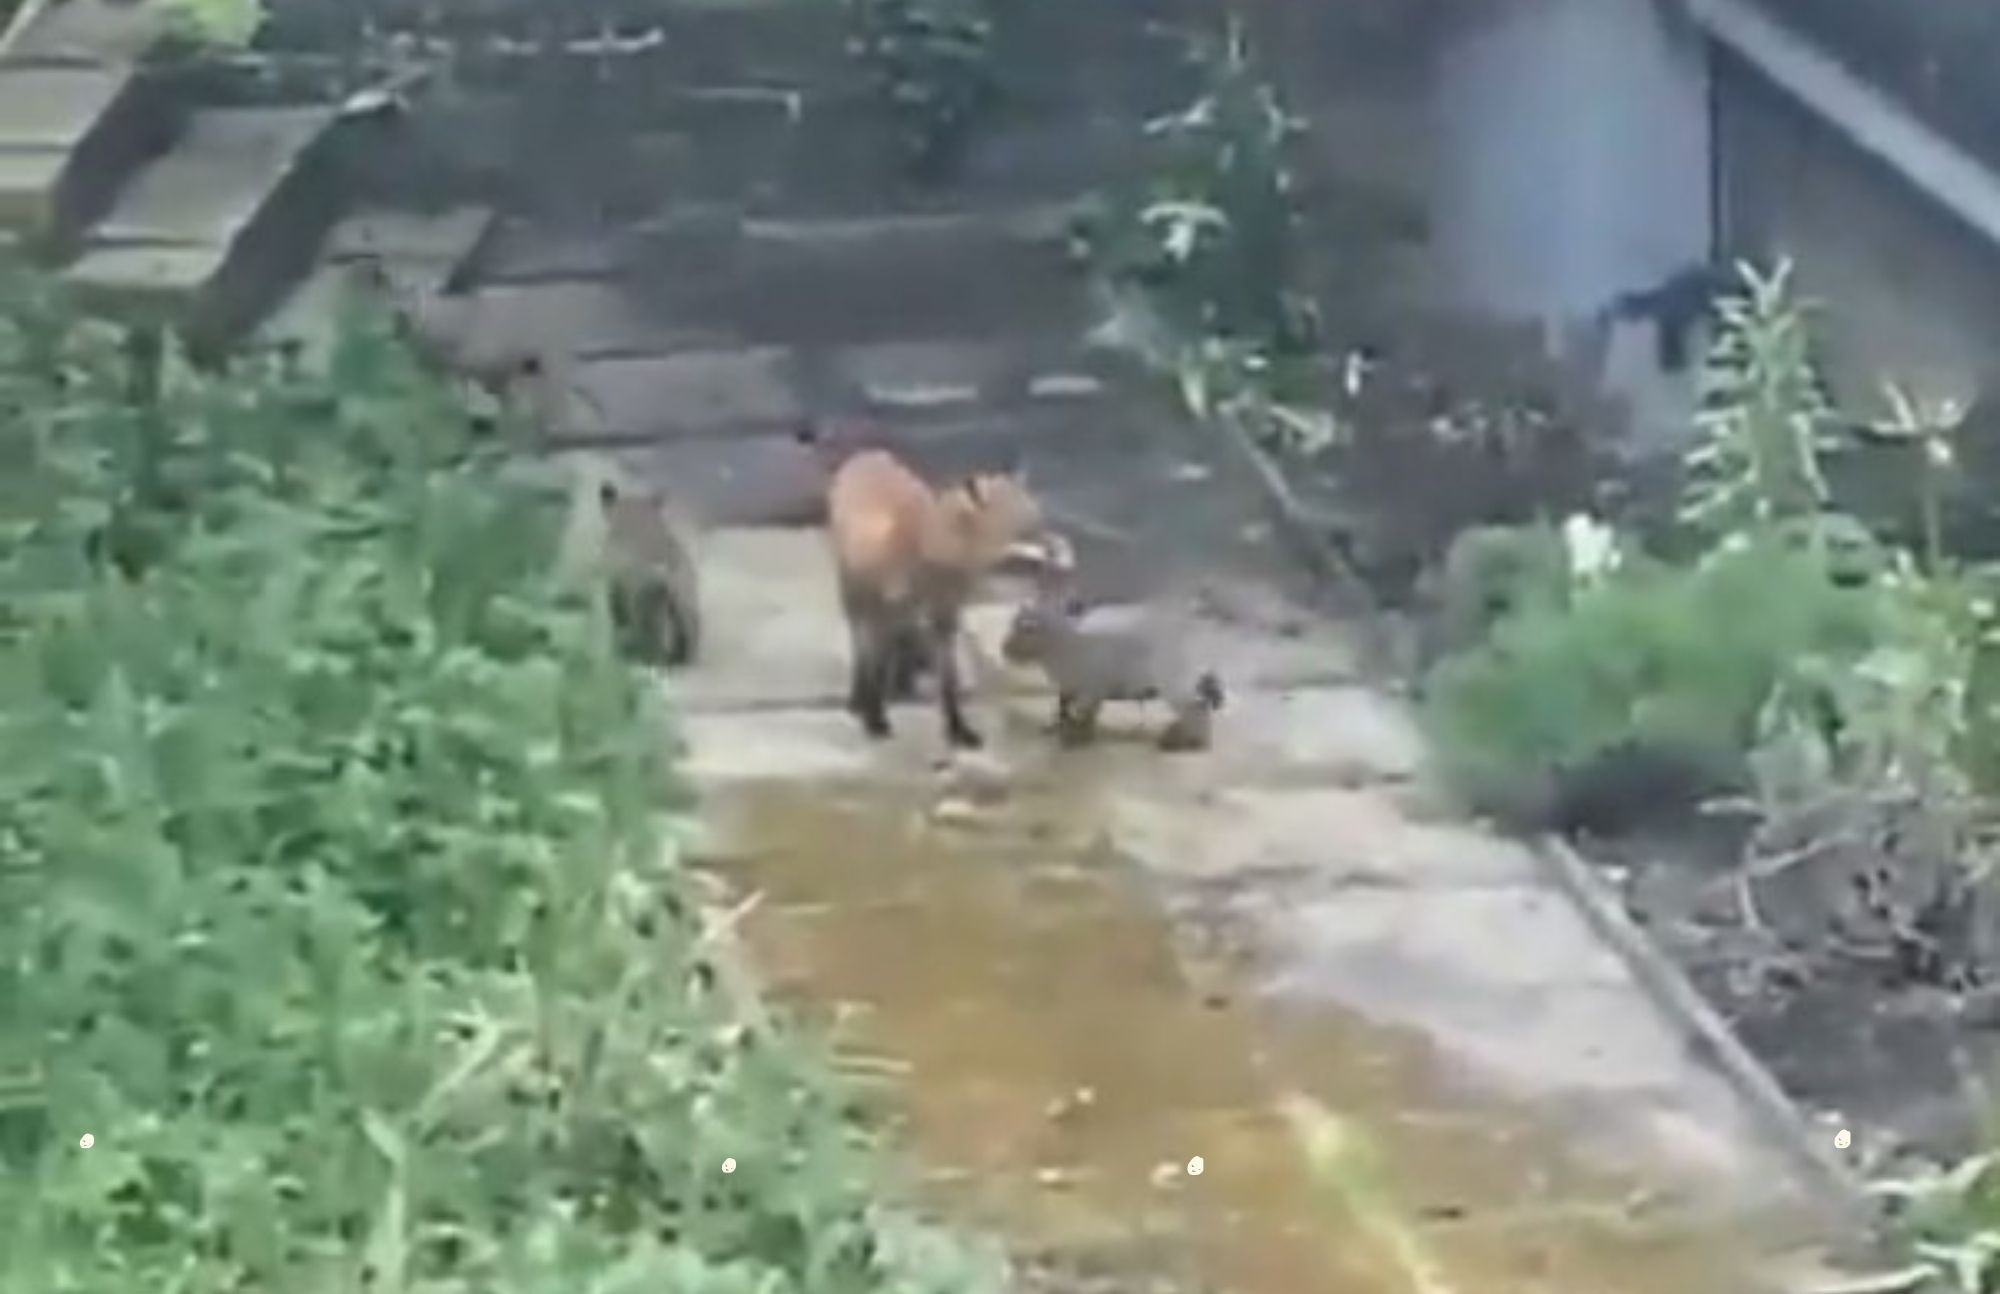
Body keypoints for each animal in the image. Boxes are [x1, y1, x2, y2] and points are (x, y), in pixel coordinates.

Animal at [823, 445, 1058, 749]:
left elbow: (949, 683)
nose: (1056, 551)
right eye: (1024, 529)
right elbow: (873, 667)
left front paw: (958, 729)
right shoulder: (885, 617)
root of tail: (868, 453)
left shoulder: (944, 620)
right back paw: (859, 696)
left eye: (1039, 520)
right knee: (861, 647)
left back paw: (899, 684)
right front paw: (874, 718)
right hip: (854, 595)